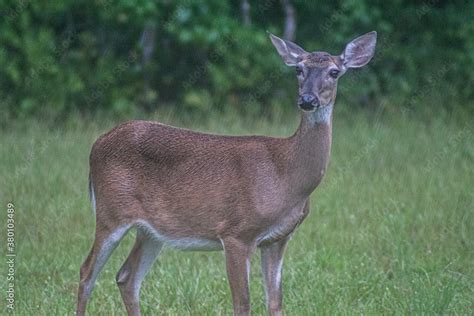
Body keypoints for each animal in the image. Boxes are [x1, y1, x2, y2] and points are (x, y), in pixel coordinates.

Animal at [77, 30, 378, 316]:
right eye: (298, 69)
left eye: (334, 72)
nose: (307, 99)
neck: (286, 174)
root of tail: (96, 144)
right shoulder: (236, 233)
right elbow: (242, 305)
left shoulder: (278, 239)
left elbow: (275, 303)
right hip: (111, 212)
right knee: (86, 273)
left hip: (151, 231)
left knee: (126, 277)